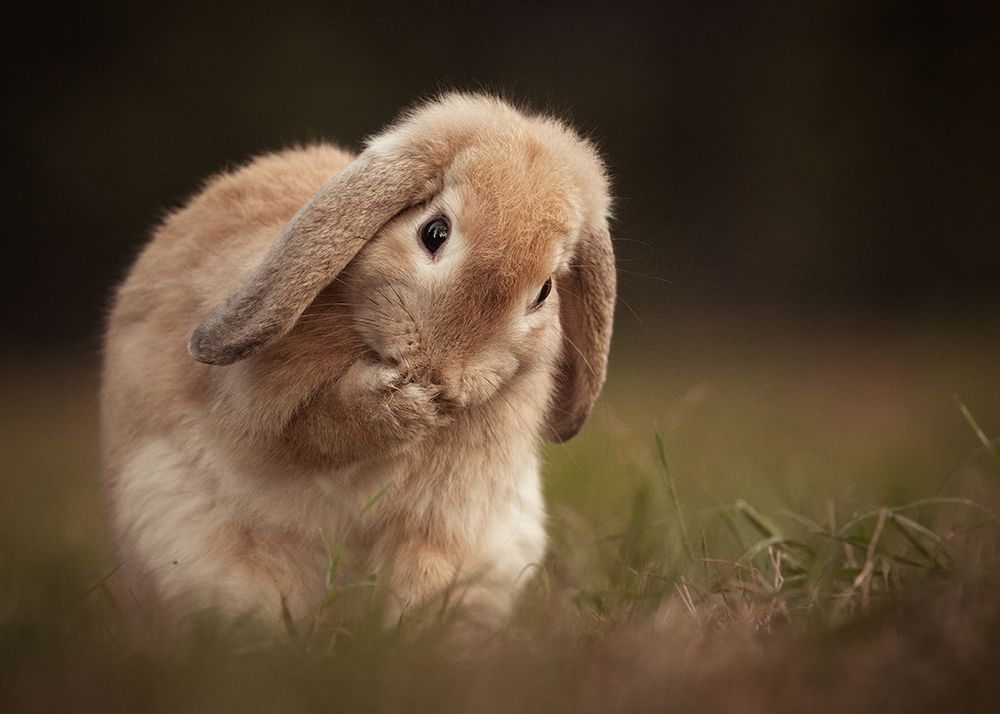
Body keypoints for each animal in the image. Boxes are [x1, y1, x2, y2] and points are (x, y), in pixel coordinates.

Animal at [101, 92, 616, 632]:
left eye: (545, 290)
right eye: (434, 232)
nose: (440, 372)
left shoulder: (443, 520)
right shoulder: (260, 405)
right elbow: (320, 429)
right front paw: (408, 404)